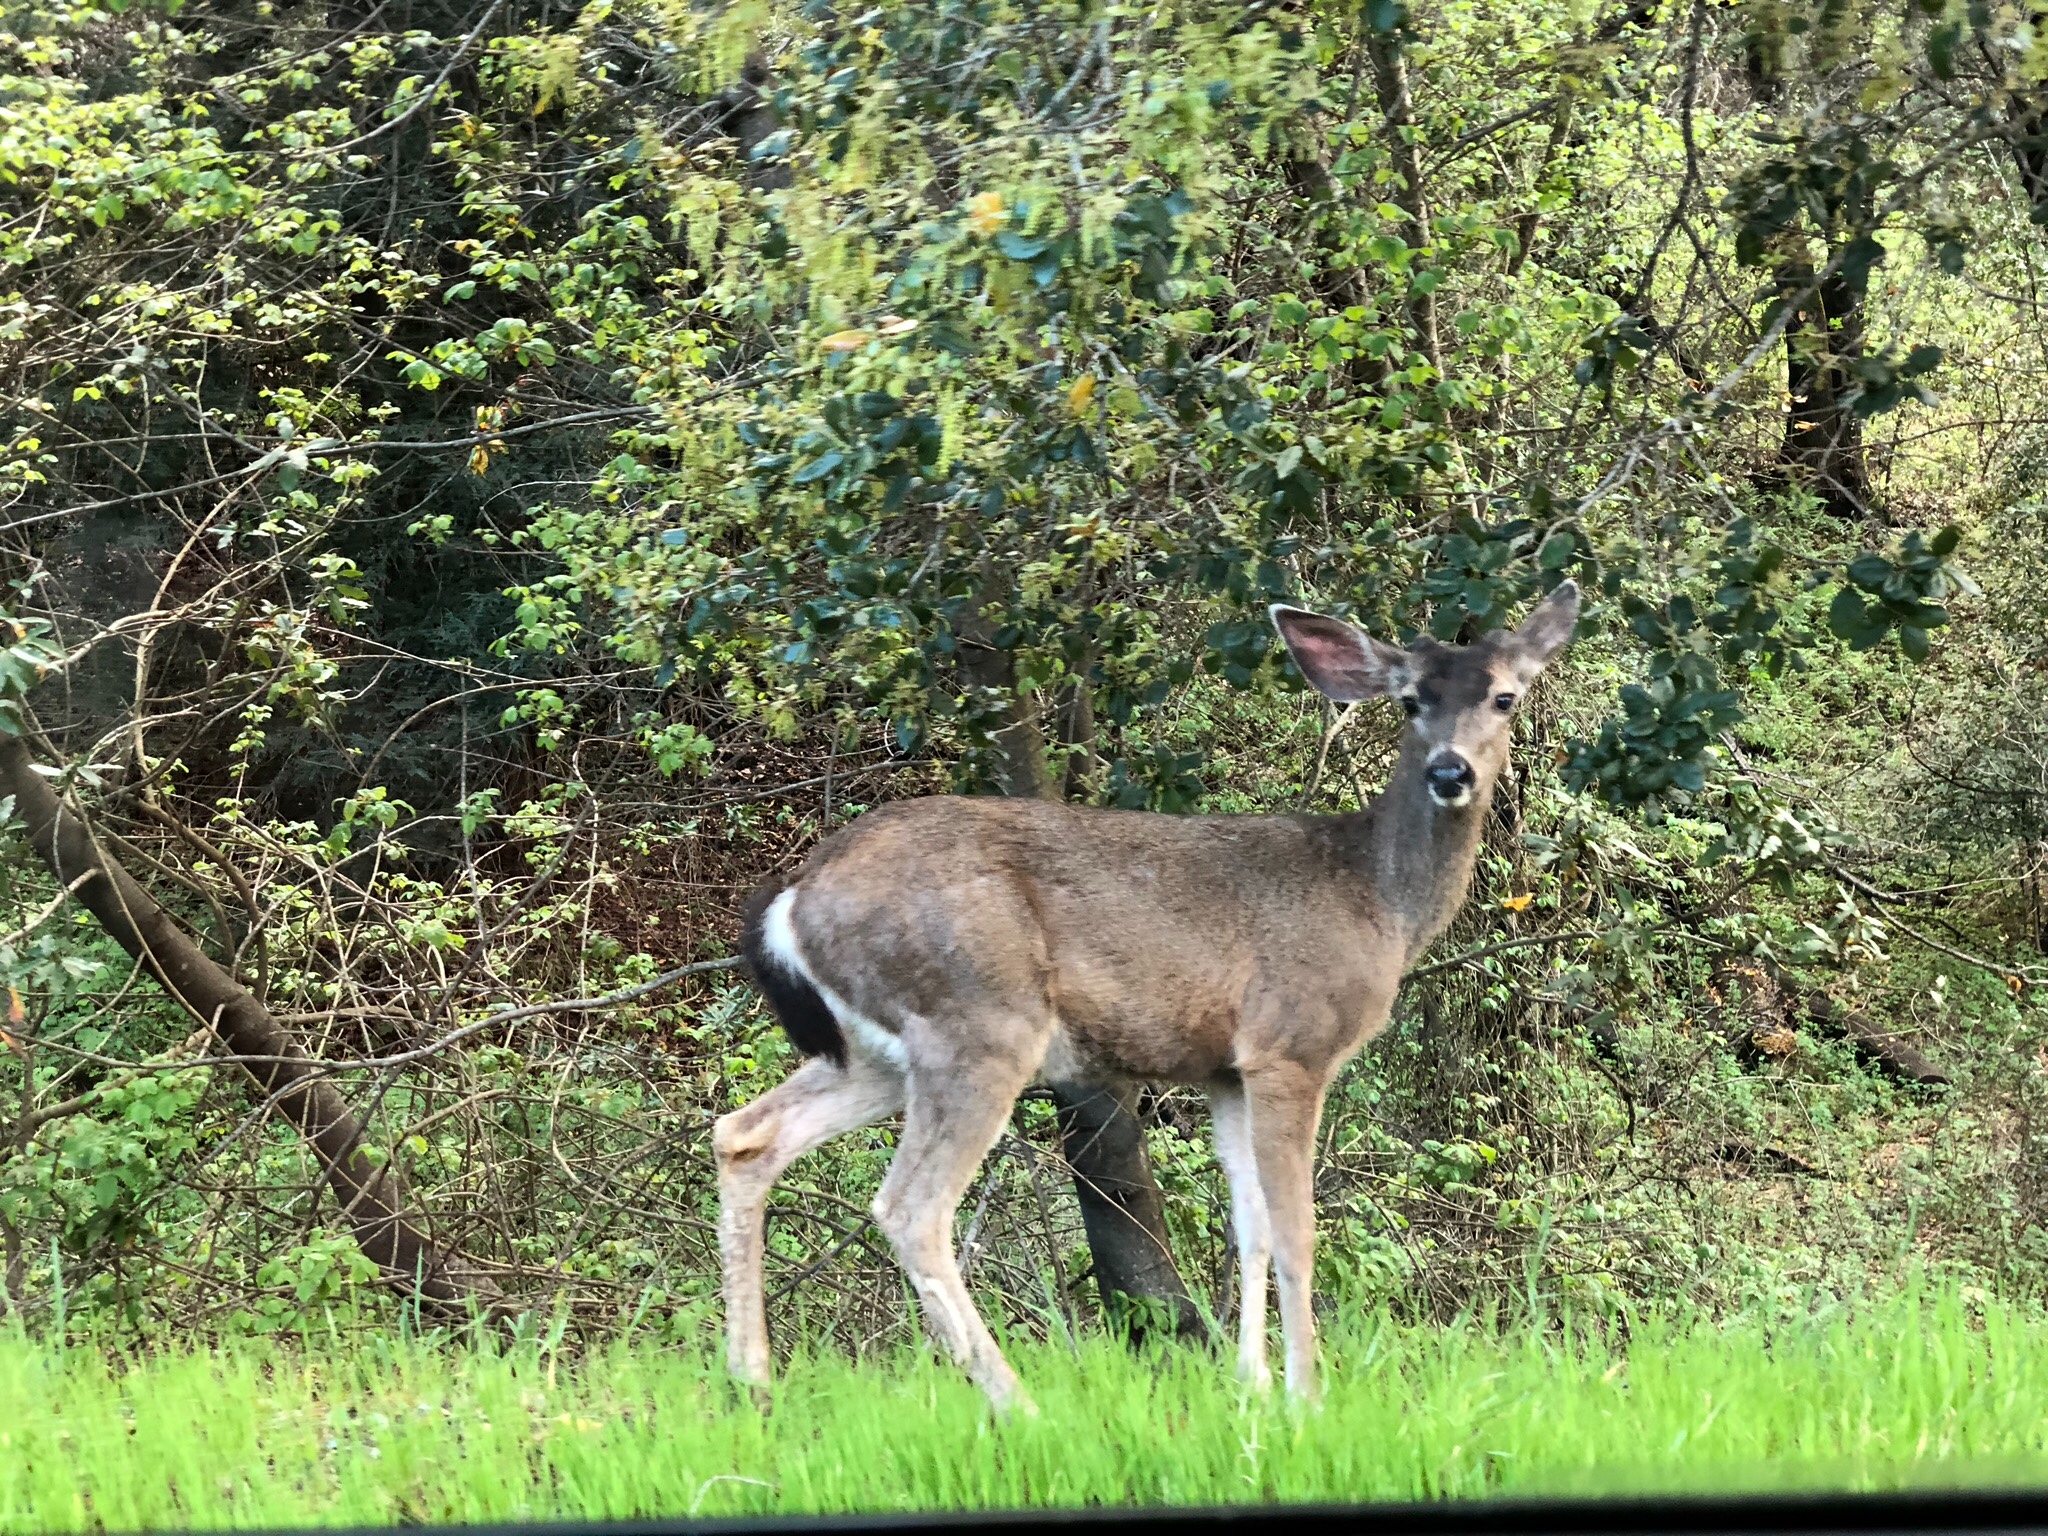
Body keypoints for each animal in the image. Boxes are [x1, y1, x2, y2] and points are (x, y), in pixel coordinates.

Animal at [720, 581, 1581, 1417]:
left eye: (1505, 696)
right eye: (1409, 700)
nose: (1450, 773)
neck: (1378, 902)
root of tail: (794, 898)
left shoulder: (1224, 1071)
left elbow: (1250, 1227)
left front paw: (1252, 1390)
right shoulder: (1290, 1045)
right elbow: (1297, 1232)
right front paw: (1307, 1398)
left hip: (876, 1050)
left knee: (746, 1135)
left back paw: (753, 1387)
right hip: (977, 1021)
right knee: (910, 1207)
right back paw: (1019, 1407)